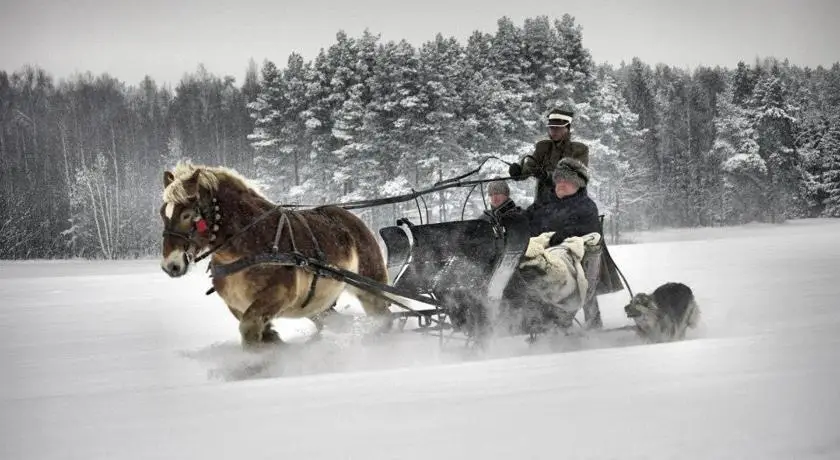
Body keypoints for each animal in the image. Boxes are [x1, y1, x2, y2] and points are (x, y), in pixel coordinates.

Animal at [159, 162, 392, 344]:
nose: (170, 265)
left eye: (187, 215)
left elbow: (249, 330)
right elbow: (261, 332)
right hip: (320, 305)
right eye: (163, 213)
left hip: (370, 288)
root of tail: (353, 220)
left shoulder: (278, 296)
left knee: (384, 314)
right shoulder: (237, 305)